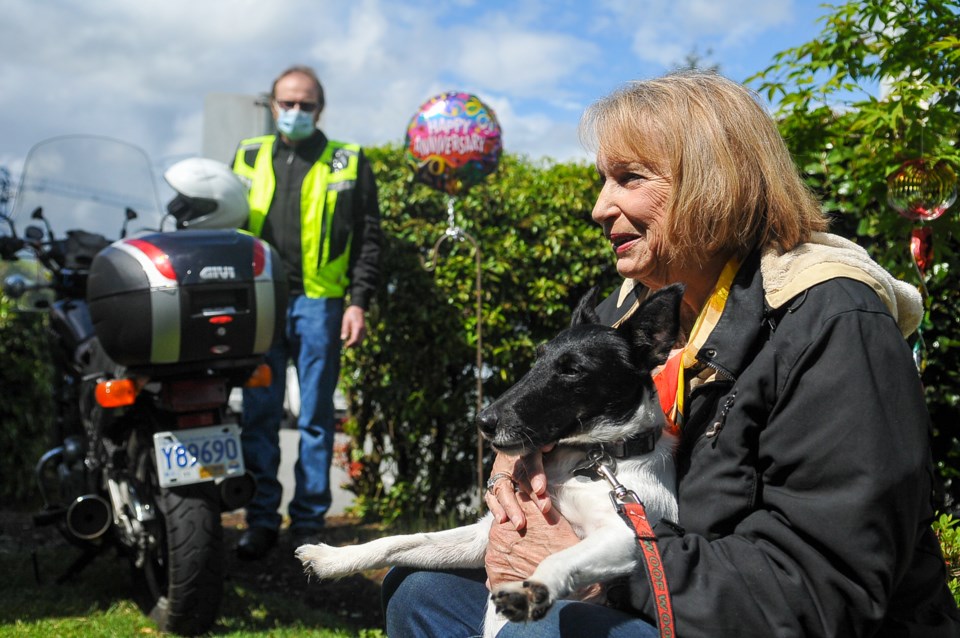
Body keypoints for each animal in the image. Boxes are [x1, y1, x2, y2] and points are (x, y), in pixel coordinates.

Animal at [296, 288, 680, 636]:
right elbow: (399, 541)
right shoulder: (487, 535)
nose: (483, 421)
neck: (588, 458)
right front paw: (333, 559)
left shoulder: (626, 536)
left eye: (572, 370)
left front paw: (533, 590)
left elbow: (556, 557)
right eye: (537, 359)